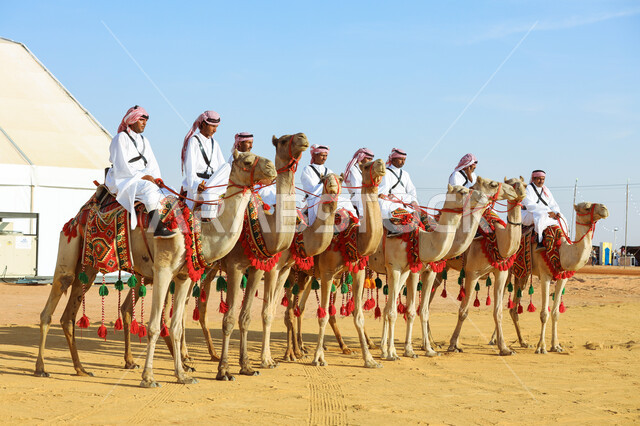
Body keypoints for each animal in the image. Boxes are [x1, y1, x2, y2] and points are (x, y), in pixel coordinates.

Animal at [34, 150, 276, 389]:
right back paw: (41, 368)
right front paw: (149, 377)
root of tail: (77, 216)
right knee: (53, 301)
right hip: (69, 249)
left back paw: (81, 369)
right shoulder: (163, 271)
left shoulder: (183, 277)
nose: (271, 168)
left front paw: (182, 375)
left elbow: (176, 326)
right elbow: (153, 326)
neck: (199, 231)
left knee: (68, 316)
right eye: (247, 161)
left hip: (89, 268)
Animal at [443, 177, 527, 355]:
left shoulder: (501, 272)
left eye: (524, 184)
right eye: (493, 184)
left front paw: (504, 348)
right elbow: (463, 311)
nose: (517, 192)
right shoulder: (472, 273)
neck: (497, 240)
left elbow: (498, 312)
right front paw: (452, 345)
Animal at [503, 202, 608, 354]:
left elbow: (555, 313)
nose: (604, 208)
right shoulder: (545, 276)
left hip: (522, 274)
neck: (561, 251)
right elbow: (544, 314)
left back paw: (523, 342)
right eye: (587, 207)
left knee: (514, 308)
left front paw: (556, 346)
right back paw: (495, 341)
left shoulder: (562, 278)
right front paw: (541, 347)